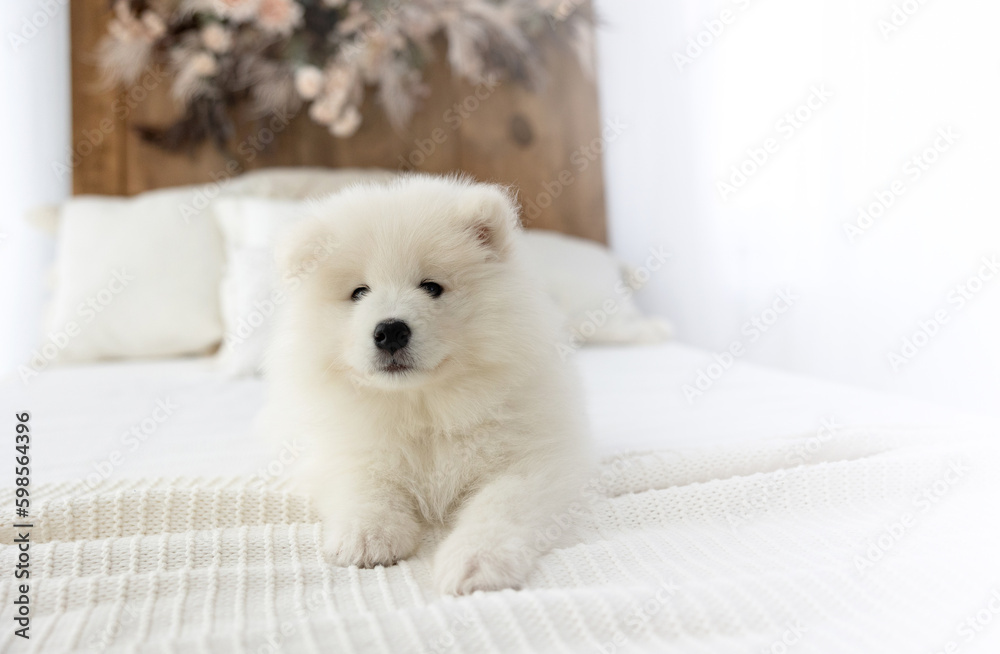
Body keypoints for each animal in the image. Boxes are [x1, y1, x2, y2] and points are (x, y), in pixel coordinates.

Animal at [260, 177, 592, 596]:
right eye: (359, 292)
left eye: (431, 287)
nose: (390, 330)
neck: (423, 407)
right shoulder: (344, 449)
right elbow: (365, 484)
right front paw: (366, 536)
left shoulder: (532, 460)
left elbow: (500, 505)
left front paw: (476, 562)